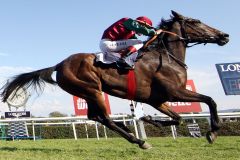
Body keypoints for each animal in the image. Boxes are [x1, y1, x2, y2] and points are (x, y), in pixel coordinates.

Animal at [0, 10, 229, 149]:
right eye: (195, 21)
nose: (224, 35)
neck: (166, 57)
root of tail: (59, 64)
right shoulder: (174, 92)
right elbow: (210, 100)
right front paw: (213, 132)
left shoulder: (156, 99)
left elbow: (179, 118)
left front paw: (149, 119)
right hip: (92, 90)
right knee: (105, 118)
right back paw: (139, 141)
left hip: (88, 93)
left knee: (96, 117)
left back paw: (131, 133)